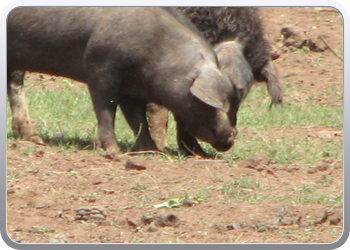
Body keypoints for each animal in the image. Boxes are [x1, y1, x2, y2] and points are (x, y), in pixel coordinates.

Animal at [8, 6, 239, 157]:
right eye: (211, 105)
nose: (231, 136)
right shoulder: (99, 65)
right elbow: (106, 108)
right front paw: (113, 151)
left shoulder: (131, 88)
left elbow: (136, 118)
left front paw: (150, 150)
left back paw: (35, 138)